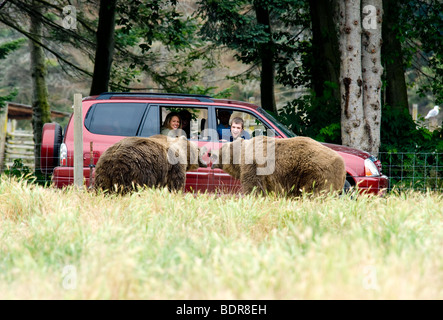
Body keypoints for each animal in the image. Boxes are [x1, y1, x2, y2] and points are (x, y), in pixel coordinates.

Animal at [213, 136, 348, 198]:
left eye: (220, 150)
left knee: (317, 194)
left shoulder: (255, 166)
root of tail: (343, 165)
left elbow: (254, 187)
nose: (211, 154)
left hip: (316, 173)